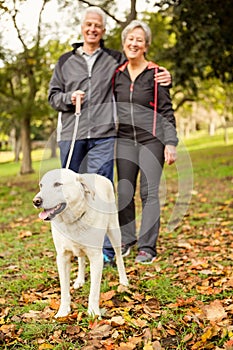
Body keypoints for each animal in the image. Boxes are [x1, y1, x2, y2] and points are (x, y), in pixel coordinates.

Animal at [32, 168, 127, 318]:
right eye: (41, 185)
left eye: (57, 184)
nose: (36, 201)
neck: (72, 221)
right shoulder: (62, 257)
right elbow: (64, 289)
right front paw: (63, 311)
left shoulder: (96, 258)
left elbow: (94, 291)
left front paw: (93, 313)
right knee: (81, 259)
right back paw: (79, 280)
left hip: (114, 231)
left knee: (118, 256)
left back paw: (124, 280)